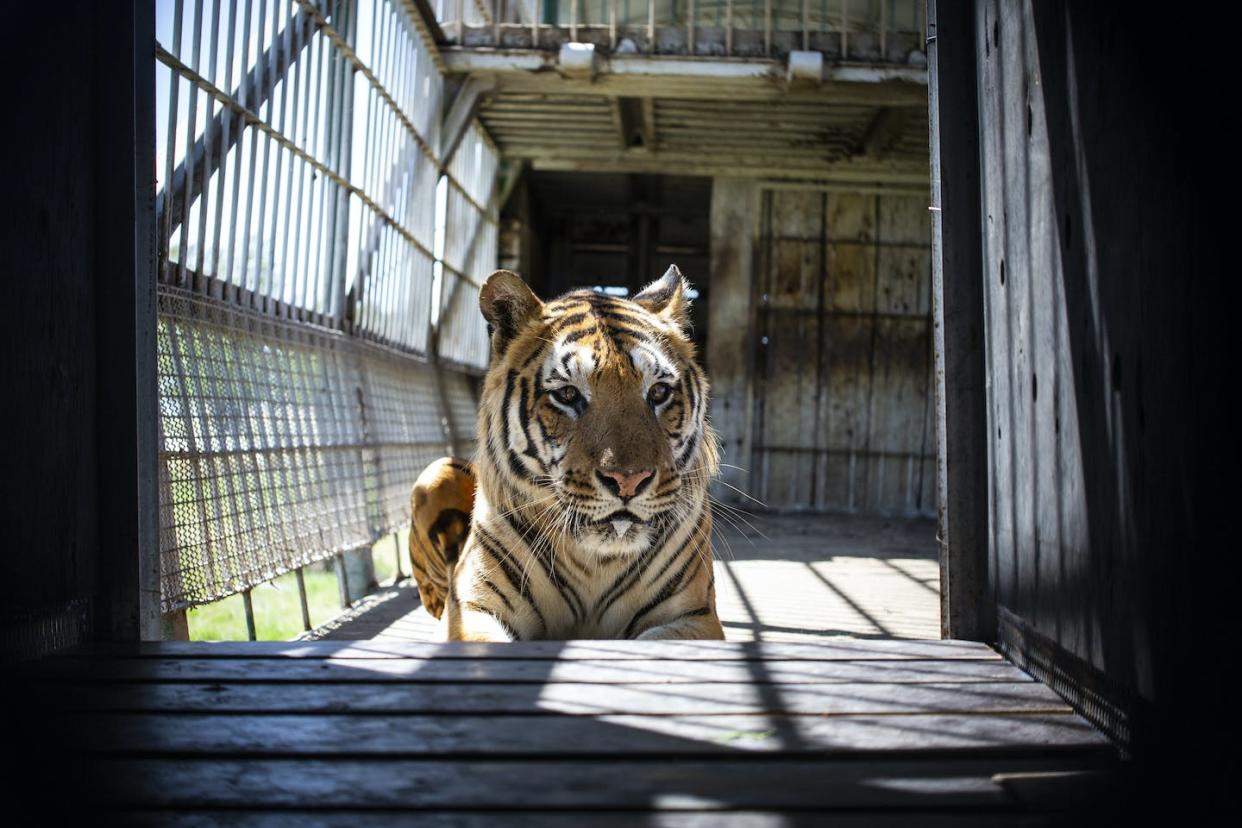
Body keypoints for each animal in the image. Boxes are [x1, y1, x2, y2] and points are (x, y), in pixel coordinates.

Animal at [427, 265, 725, 640]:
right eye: (568, 395)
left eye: (658, 392)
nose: (628, 482)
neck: (596, 563)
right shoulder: (471, 607)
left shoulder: (695, 615)